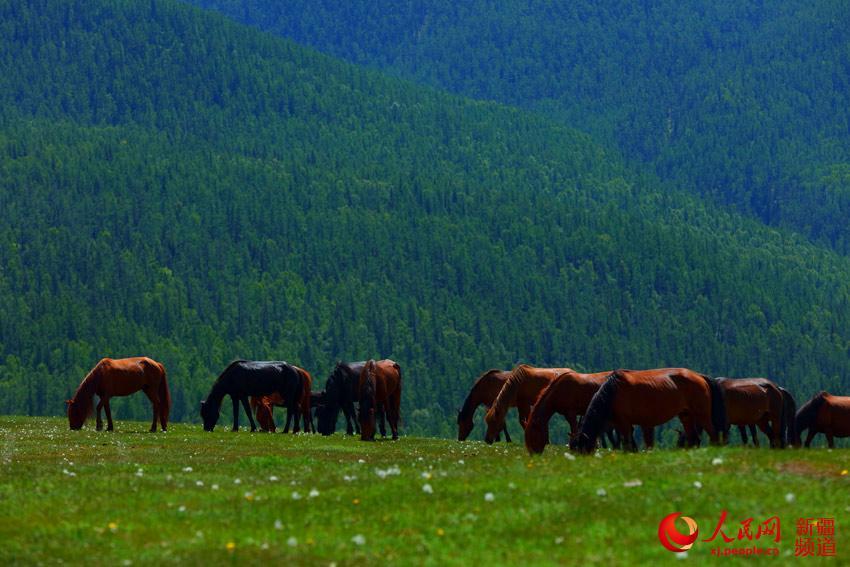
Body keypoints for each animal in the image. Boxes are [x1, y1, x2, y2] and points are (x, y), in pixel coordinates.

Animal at [568, 370, 724, 454]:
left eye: (581, 448)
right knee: (694, 438)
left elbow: (628, 443)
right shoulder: (622, 424)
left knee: (713, 434)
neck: (612, 392)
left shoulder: (624, 423)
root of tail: (700, 376)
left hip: (702, 414)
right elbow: (630, 443)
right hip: (686, 415)